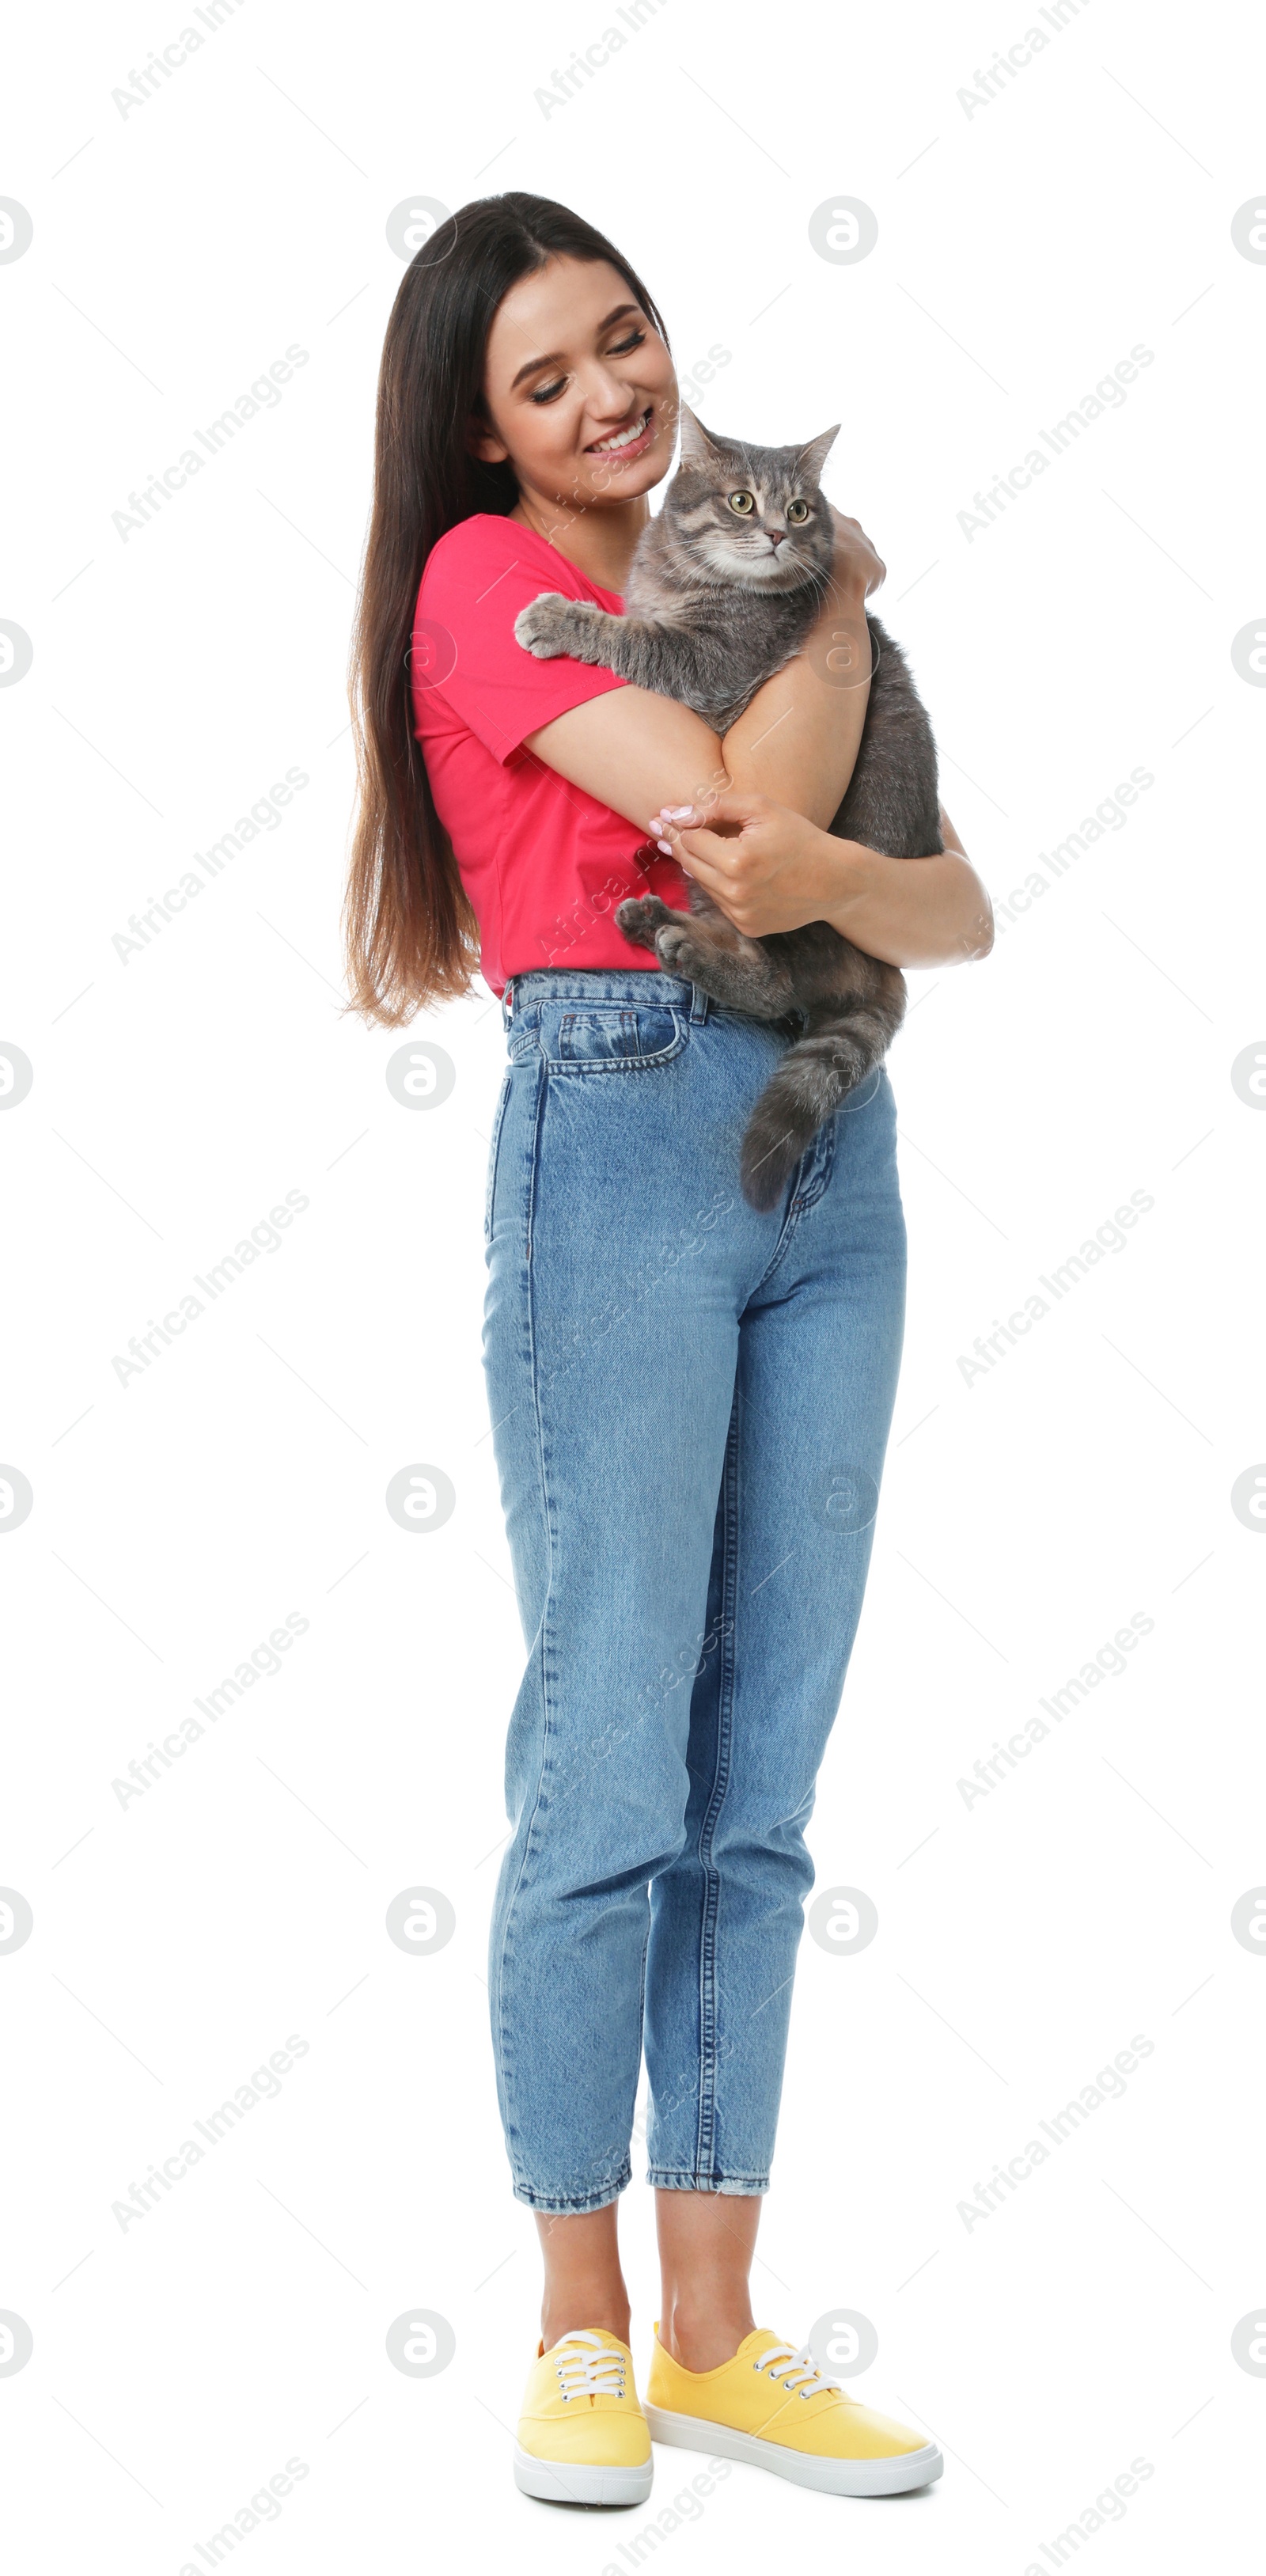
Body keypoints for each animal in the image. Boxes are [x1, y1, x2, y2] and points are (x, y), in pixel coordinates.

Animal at [512, 407, 942, 1210]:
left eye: (799, 510)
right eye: (743, 501)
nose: (775, 533)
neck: (685, 576)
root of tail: (880, 964)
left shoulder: (710, 667)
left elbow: (631, 637)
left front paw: (557, 618)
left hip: (782, 893)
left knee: (776, 986)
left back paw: (683, 945)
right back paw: (656, 922)